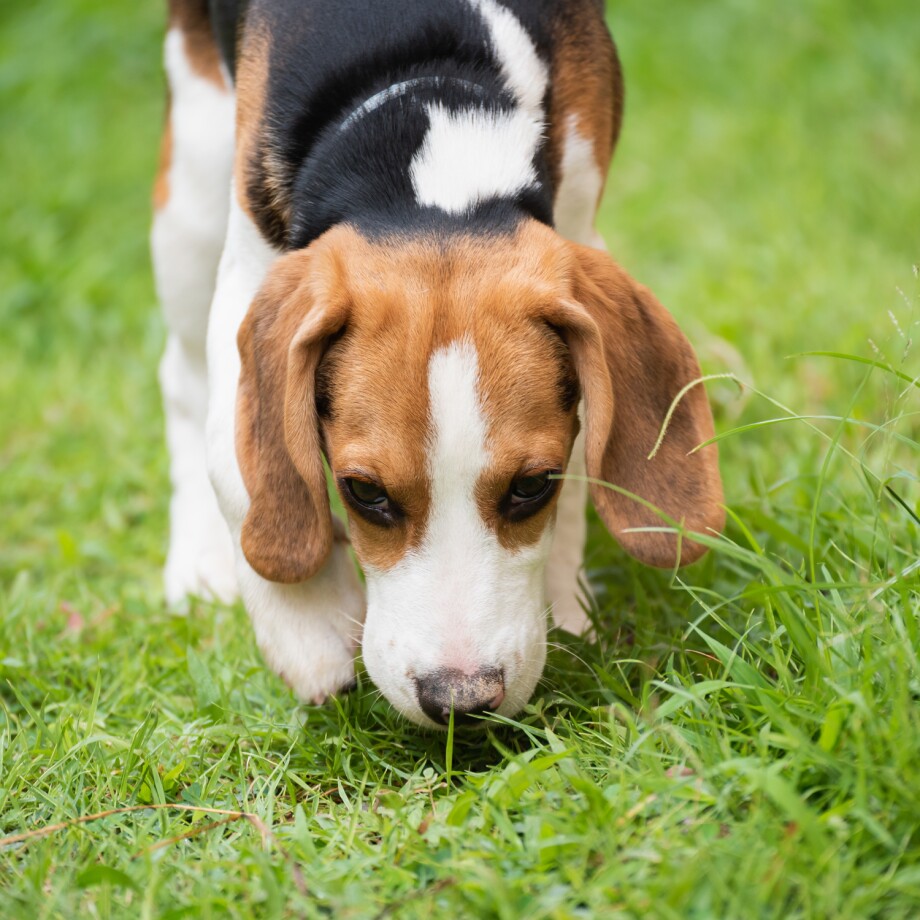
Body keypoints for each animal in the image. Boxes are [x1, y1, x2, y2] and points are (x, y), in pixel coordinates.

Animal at [153, 0, 724, 728]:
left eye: (533, 484)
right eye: (363, 493)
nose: (460, 700)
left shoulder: (576, 210)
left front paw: (563, 605)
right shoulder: (250, 269)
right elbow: (235, 465)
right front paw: (308, 624)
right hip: (193, 189)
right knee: (183, 378)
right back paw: (199, 561)